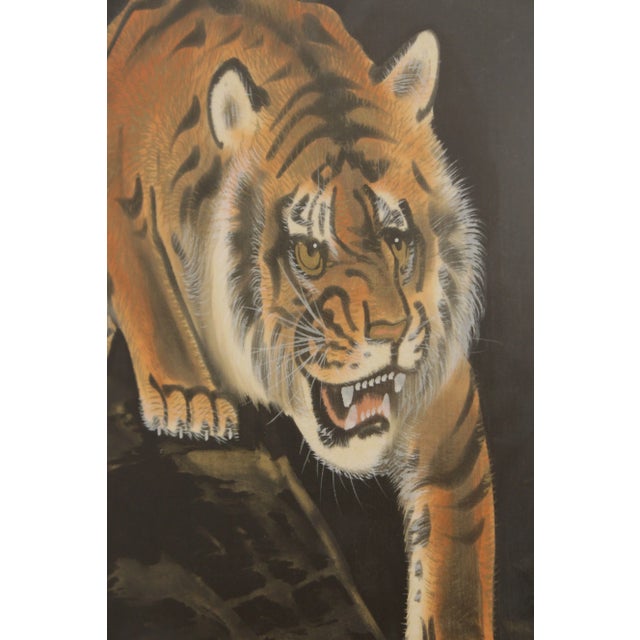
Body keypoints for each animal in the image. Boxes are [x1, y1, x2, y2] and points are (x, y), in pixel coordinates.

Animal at [107, 0, 495, 638]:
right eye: (310, 251)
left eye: (396, 240)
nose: (391, 335)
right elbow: (143, 279)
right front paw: (190, 401)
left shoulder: (447, 416)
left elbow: (456, 574)